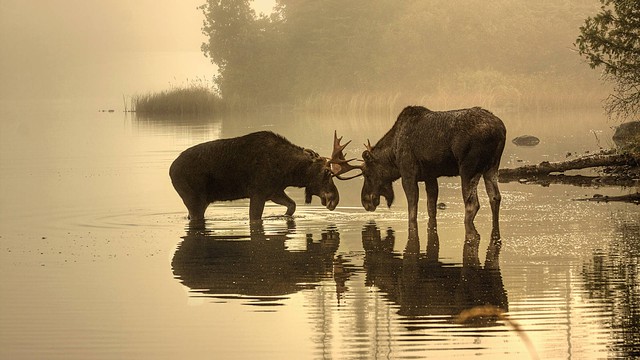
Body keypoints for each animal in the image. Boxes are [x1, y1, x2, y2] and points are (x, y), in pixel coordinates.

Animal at [168, 131, 352, 221]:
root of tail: (170, 170)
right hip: (194, 200)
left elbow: (292, 206)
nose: (335, 199)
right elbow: (255, 217)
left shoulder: (274, 191)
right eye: (327, 172)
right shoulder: (258, 192)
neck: (288, 170)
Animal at [332, 106, 508, 242]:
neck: (392, 155)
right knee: (495, 197)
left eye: (367, 174)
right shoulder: (431, 177)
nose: (365, 202)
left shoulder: (408, 174)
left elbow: (412, 209)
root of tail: (501, 131)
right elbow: (431, 208)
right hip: (492, 167)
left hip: (468, 168)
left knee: (472, 203)